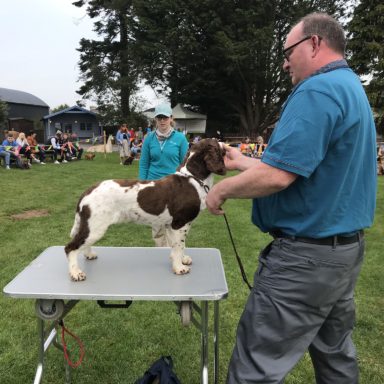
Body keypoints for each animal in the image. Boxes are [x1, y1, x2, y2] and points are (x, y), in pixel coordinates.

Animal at [64, 136, 226, 280]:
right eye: (218, 145)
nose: (226, 144)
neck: (193, 178)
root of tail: (86, 192)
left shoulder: (173, 225)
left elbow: (179, 245)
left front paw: (182, 259)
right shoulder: (179, 224)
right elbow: (178, 245)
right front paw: (179, 268)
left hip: (91, 226)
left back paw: (89, 255)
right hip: (95, 226)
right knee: (71, 247)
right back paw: (76, 273)